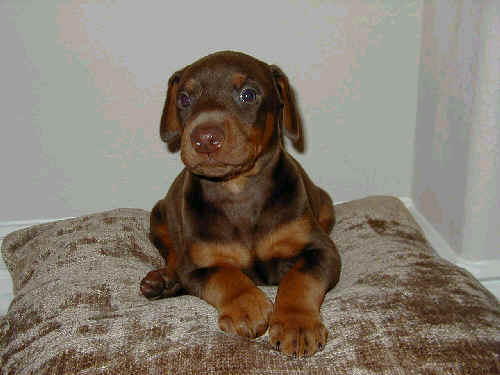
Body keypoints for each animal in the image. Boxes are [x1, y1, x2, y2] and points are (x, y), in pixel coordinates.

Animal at [143, 50, 342, 358]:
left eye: (248, 94)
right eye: (184, 98)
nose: (204, 139)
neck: (237, 189)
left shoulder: (321, 249)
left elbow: (300, 277)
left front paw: (296, 324)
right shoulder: (198, 263)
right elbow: (225, 275)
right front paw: (247, 308)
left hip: (326, 205)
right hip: (159, 216)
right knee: (173, 254)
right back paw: (163, 280)